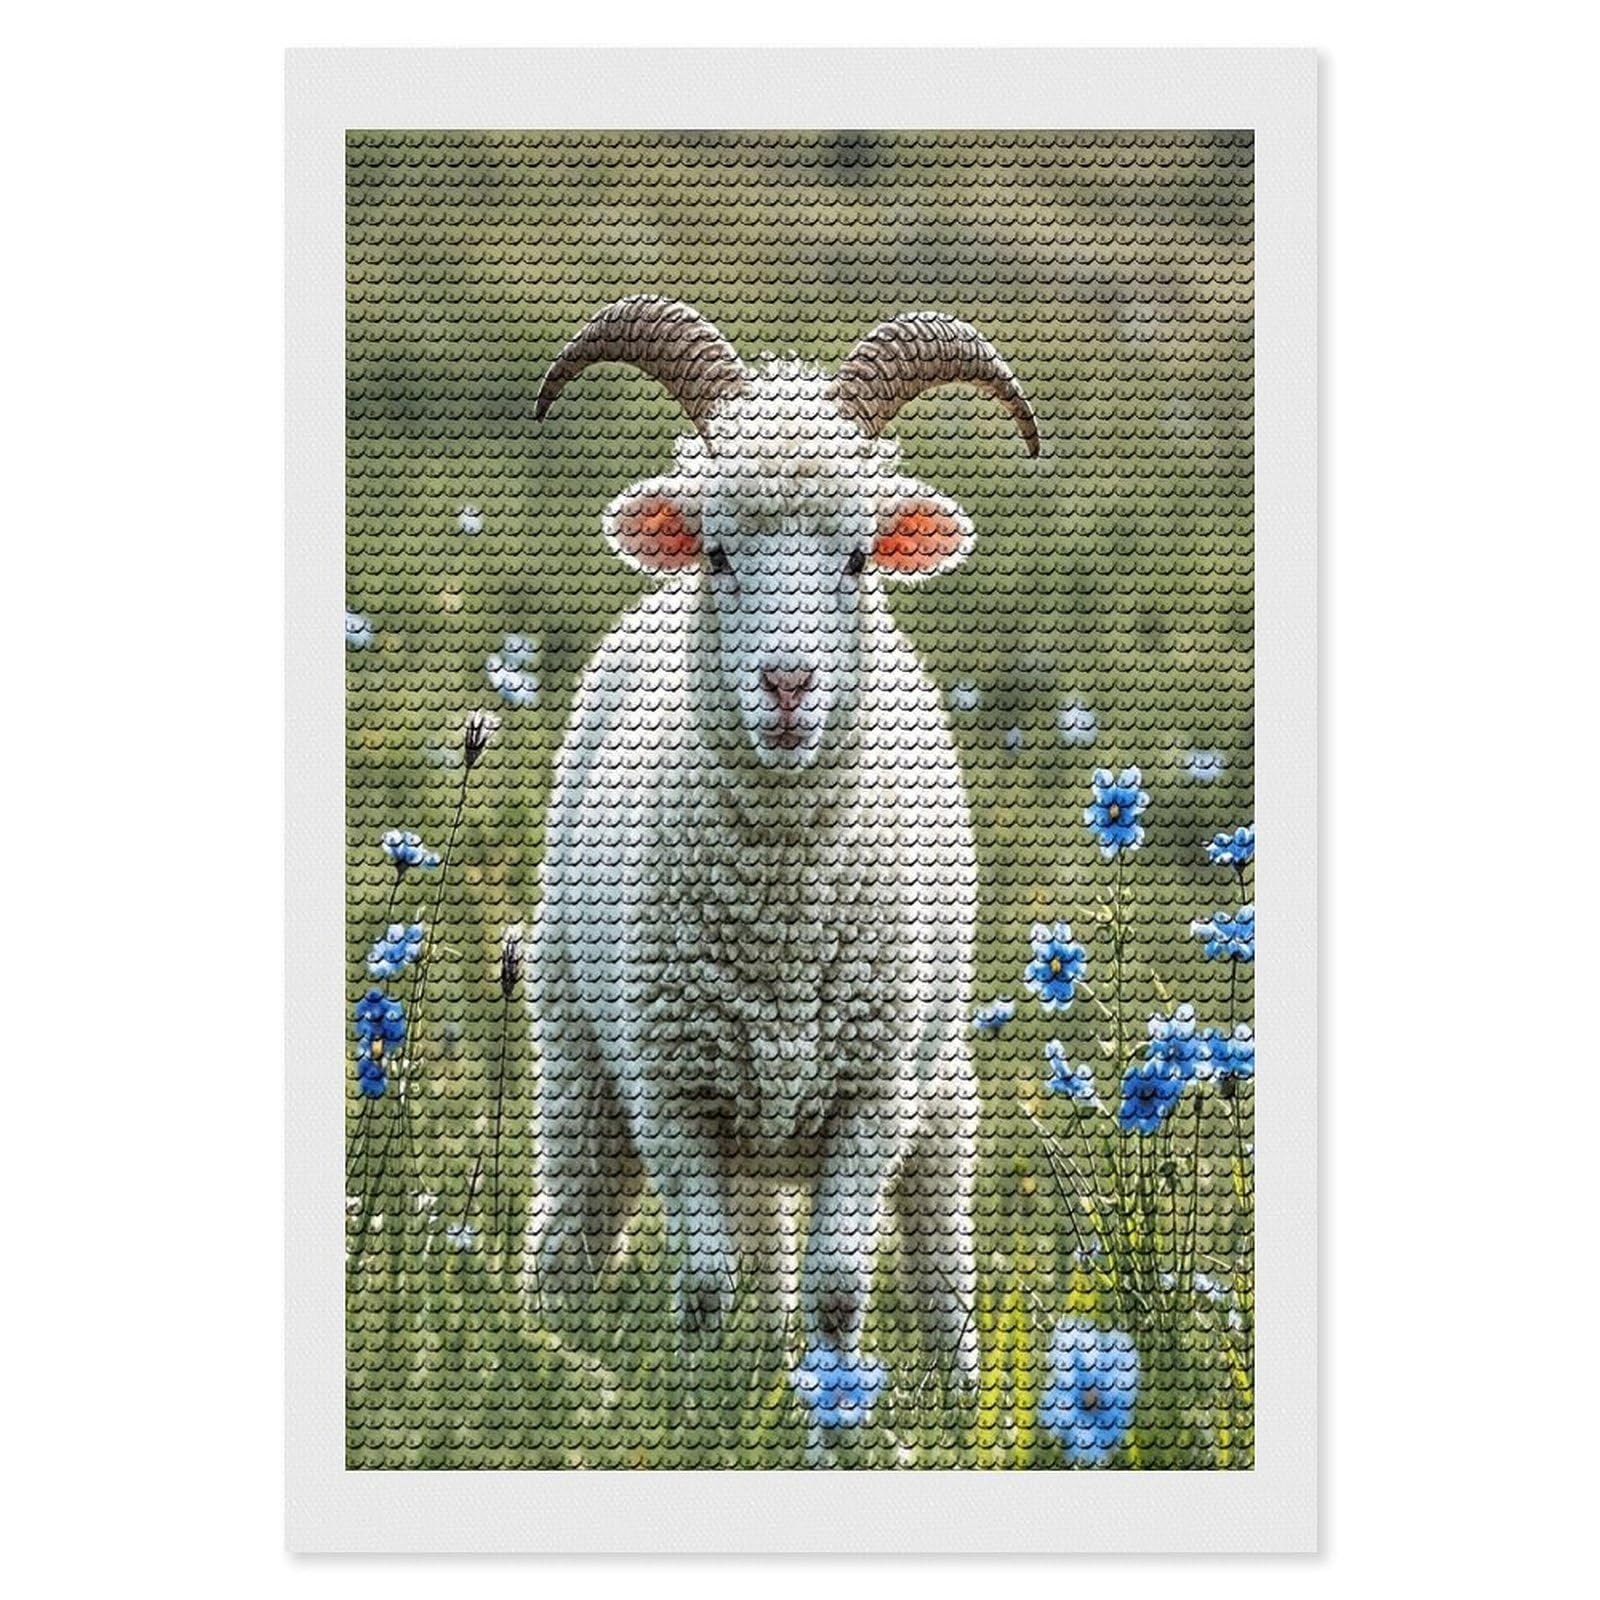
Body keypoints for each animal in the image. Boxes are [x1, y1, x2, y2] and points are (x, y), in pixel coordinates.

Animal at [527, 295, 1039, 1411]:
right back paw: (544, 1355)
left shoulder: (872, 1095)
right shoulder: (674, 1091)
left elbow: (840, 1287)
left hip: (937, 1090)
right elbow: (707, 1280)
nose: (789, 685)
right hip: (585, 1062)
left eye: (857, 558)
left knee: (936, 1260)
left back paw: (952, 1400)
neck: (781, 910)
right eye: (719, 553)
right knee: (579, 1233)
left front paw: (836, 1408)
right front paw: (700, 1407)